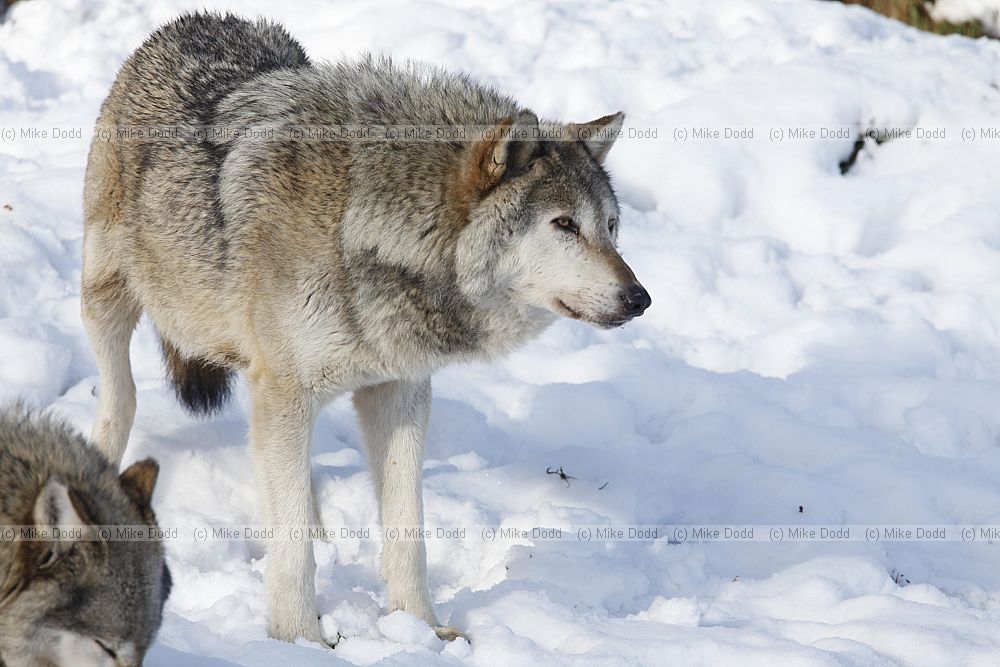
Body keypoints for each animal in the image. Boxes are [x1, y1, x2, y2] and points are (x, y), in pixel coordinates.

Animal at [82, 12, 650, 643]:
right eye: (564, 225)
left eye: (611, 227)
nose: (639, 298)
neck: (366, 226)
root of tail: (196, 19)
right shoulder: (284, 391)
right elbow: (292, 549)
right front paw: (299, 641)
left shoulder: (397, 393)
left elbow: (407, 531)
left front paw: (421, 629)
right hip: (106, 300)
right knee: (122, 401)